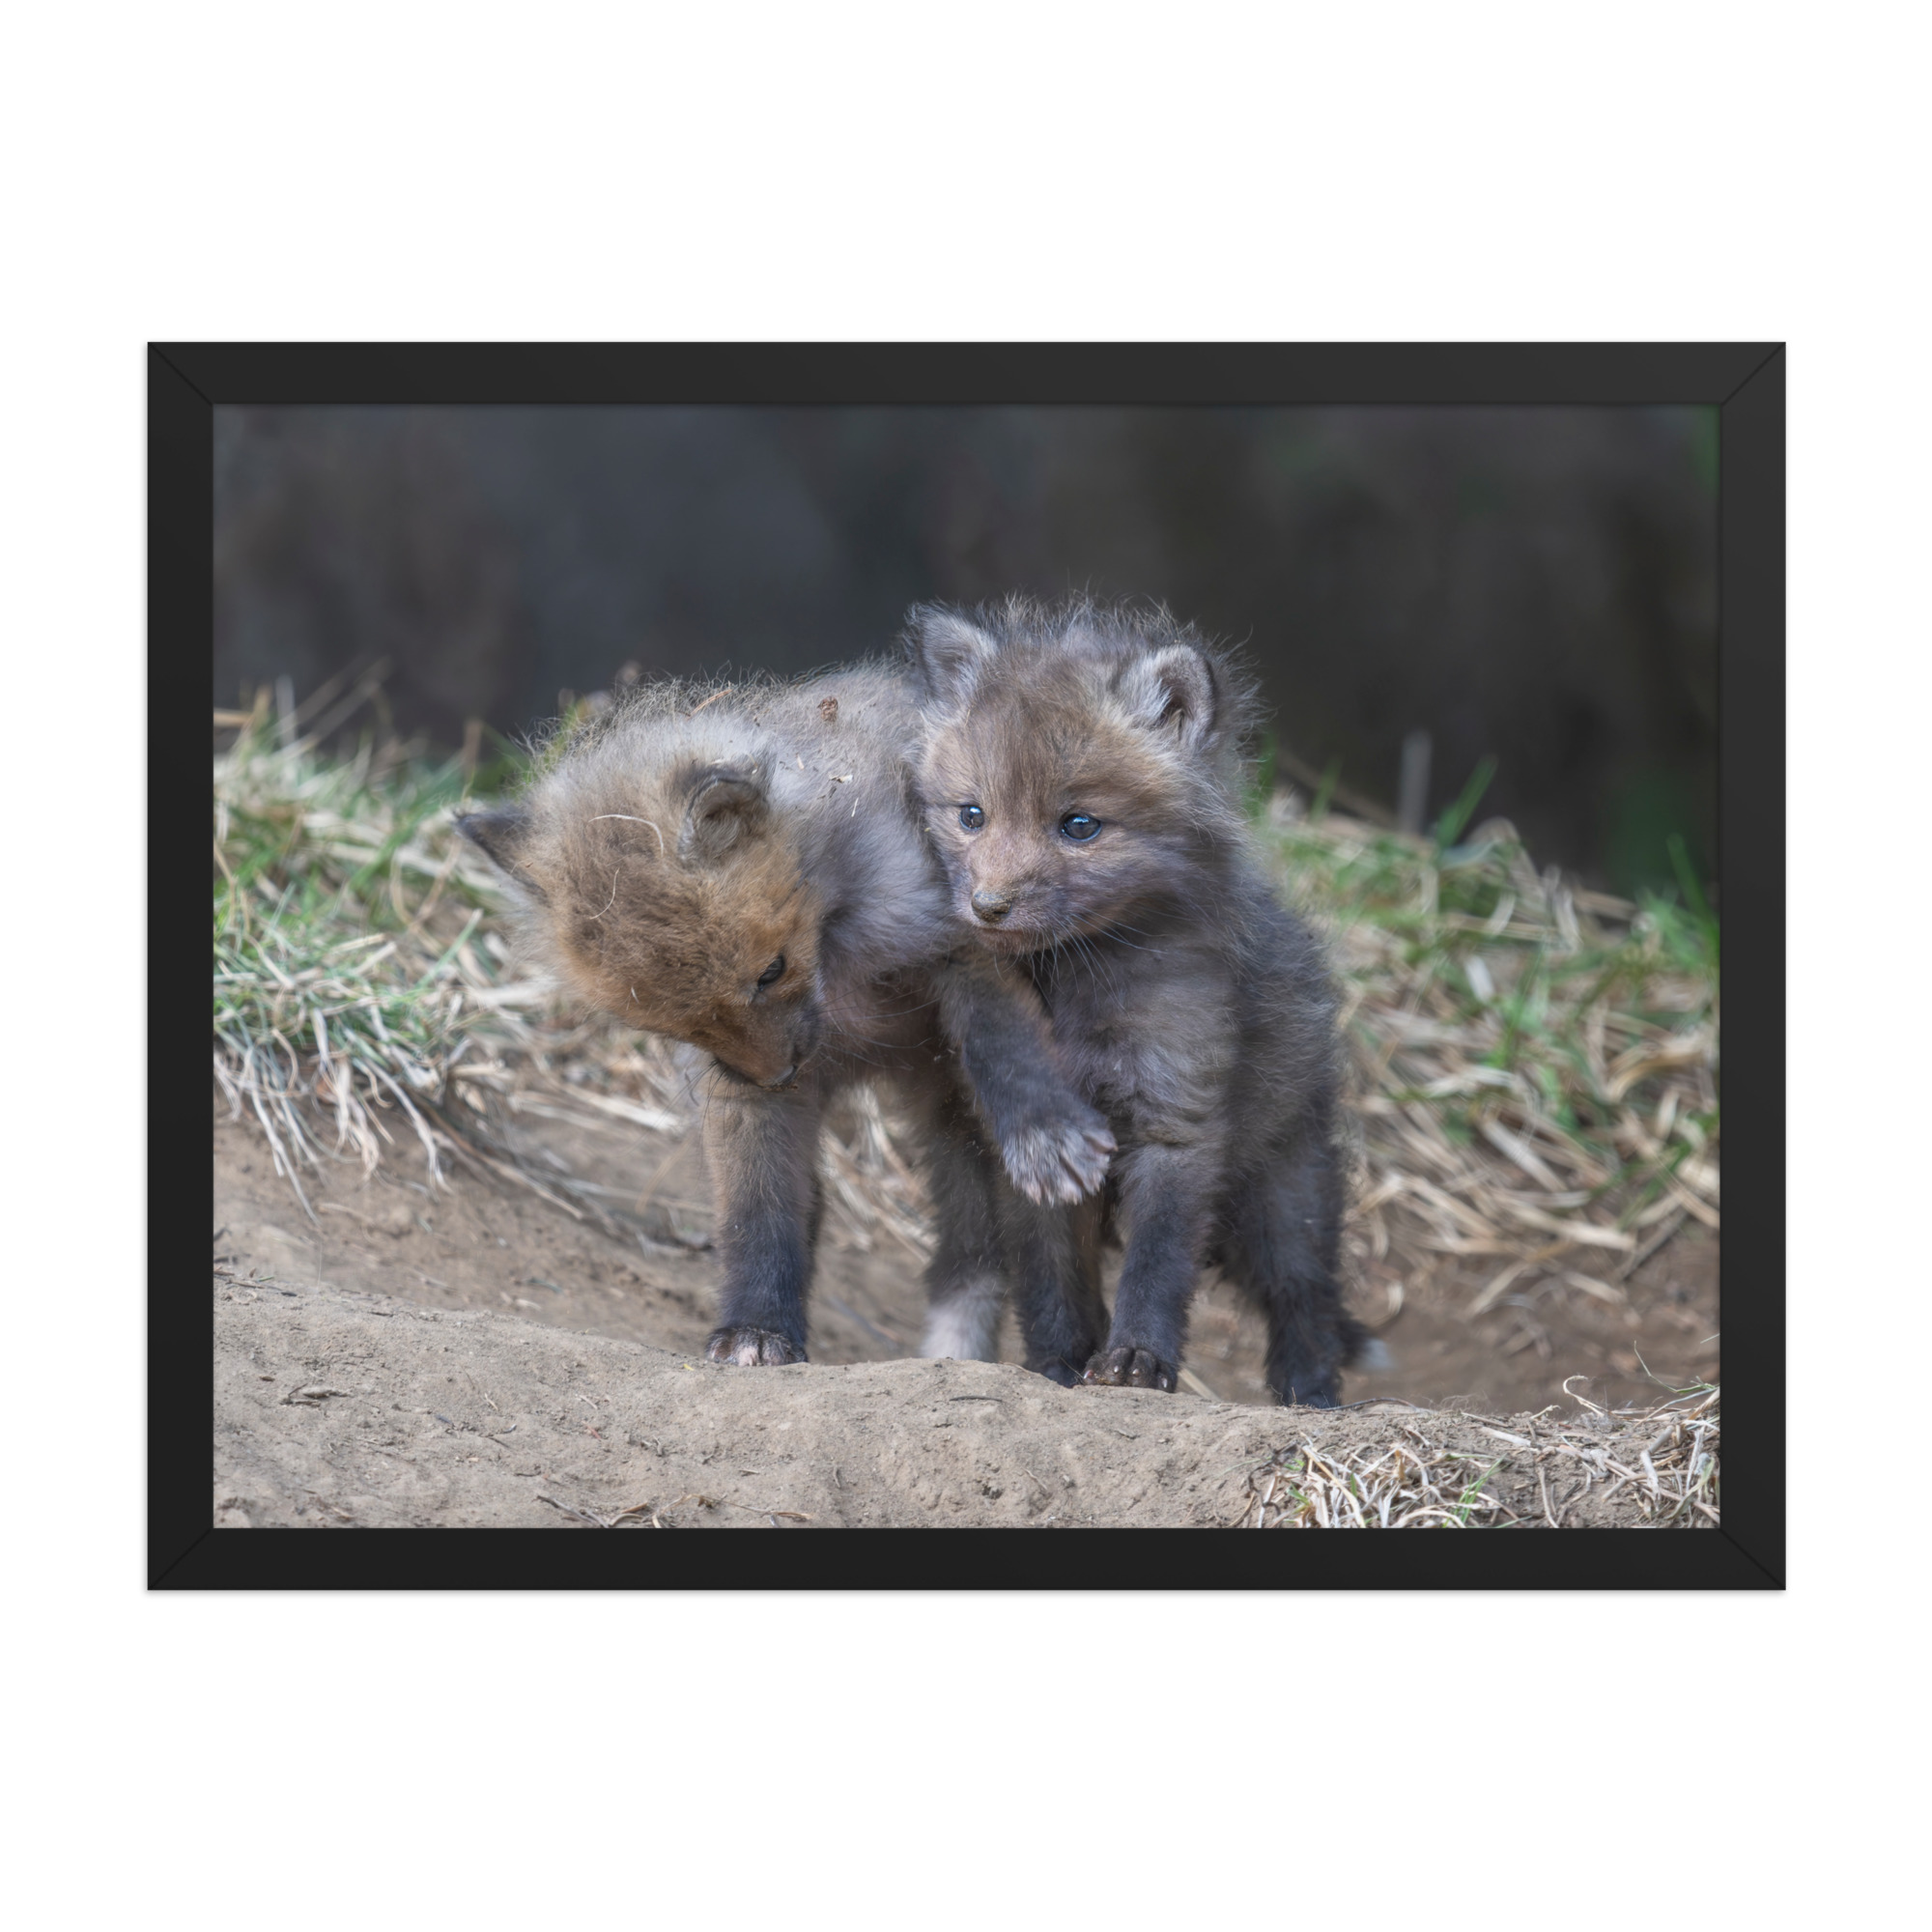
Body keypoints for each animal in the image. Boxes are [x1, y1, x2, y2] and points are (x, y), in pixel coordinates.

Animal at [457, 664, 1115, 1380]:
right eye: (674, 1024)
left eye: (771, 971)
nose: (779, 1074)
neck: (841, 960)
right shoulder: (735, 1089)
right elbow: (758, 1212)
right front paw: (757, 1328)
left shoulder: (964, 940)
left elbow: (1004, 1045)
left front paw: (1043, 1130)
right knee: (965, 1254)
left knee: (1038, 1257)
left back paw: (1064, 1363)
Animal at [907, 596, 1376, 1406]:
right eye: (971, 815)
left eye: (1079, 826)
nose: (987, 906)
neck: (1075, 989)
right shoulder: (1035, 1152)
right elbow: (1051, 1281)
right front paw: (1058, 1366)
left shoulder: (1176, 1118)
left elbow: (1158, 1265)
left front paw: (1136, 1361)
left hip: (1284, 1193)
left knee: (1305, 1298)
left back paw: (1310, 1397)